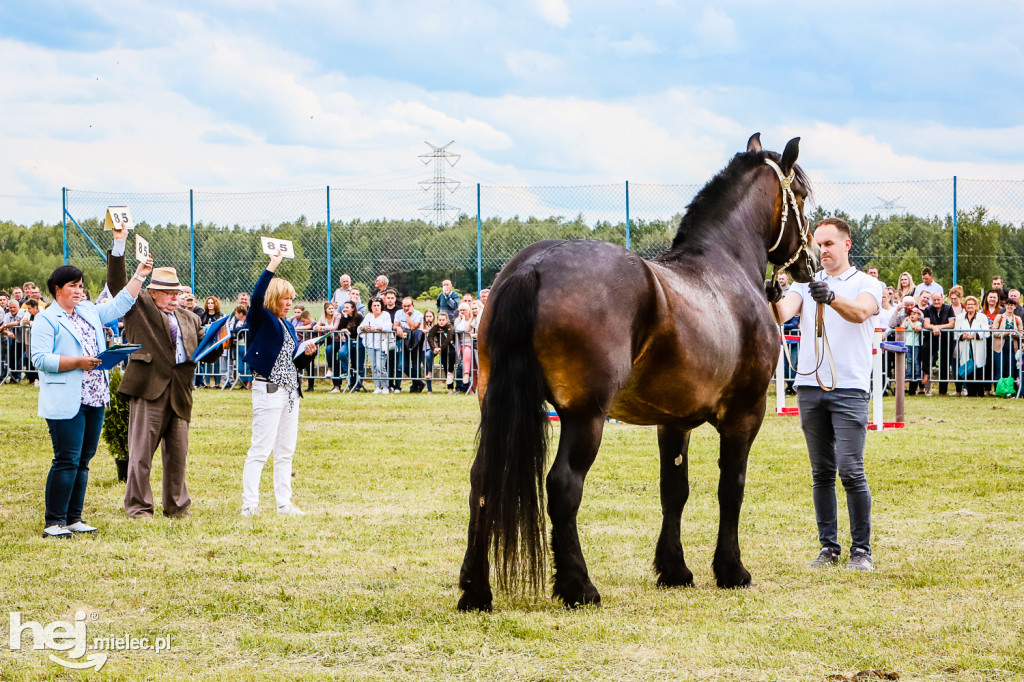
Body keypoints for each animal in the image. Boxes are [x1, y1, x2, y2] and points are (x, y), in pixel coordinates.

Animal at [460, 134, 819, 610]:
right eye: (801, 194)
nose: (811, 259)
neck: (724, 268)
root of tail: (533, 267)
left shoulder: (673, 421)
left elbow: (675, 489)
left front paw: (674, 570)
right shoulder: (745, 414)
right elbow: (732, 487)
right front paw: (731, 570)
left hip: (497, 406)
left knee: (482, 480)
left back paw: (475, 590)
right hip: (586, 415)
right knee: (563, 485)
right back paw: (579, 586)